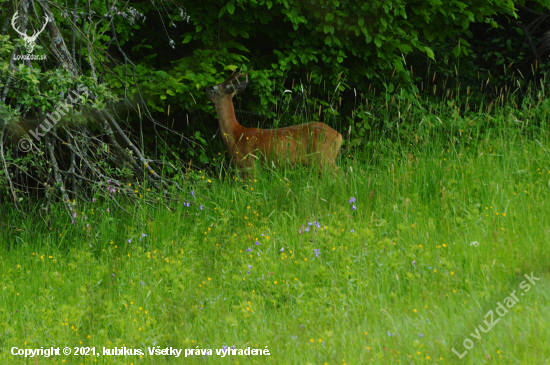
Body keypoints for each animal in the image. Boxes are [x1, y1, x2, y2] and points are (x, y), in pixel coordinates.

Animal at [206, 70, 344, 177]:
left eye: (214, 88)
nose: (205, 88)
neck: (235, 134)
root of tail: (339, 135)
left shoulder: (249, 165)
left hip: (324, 157)